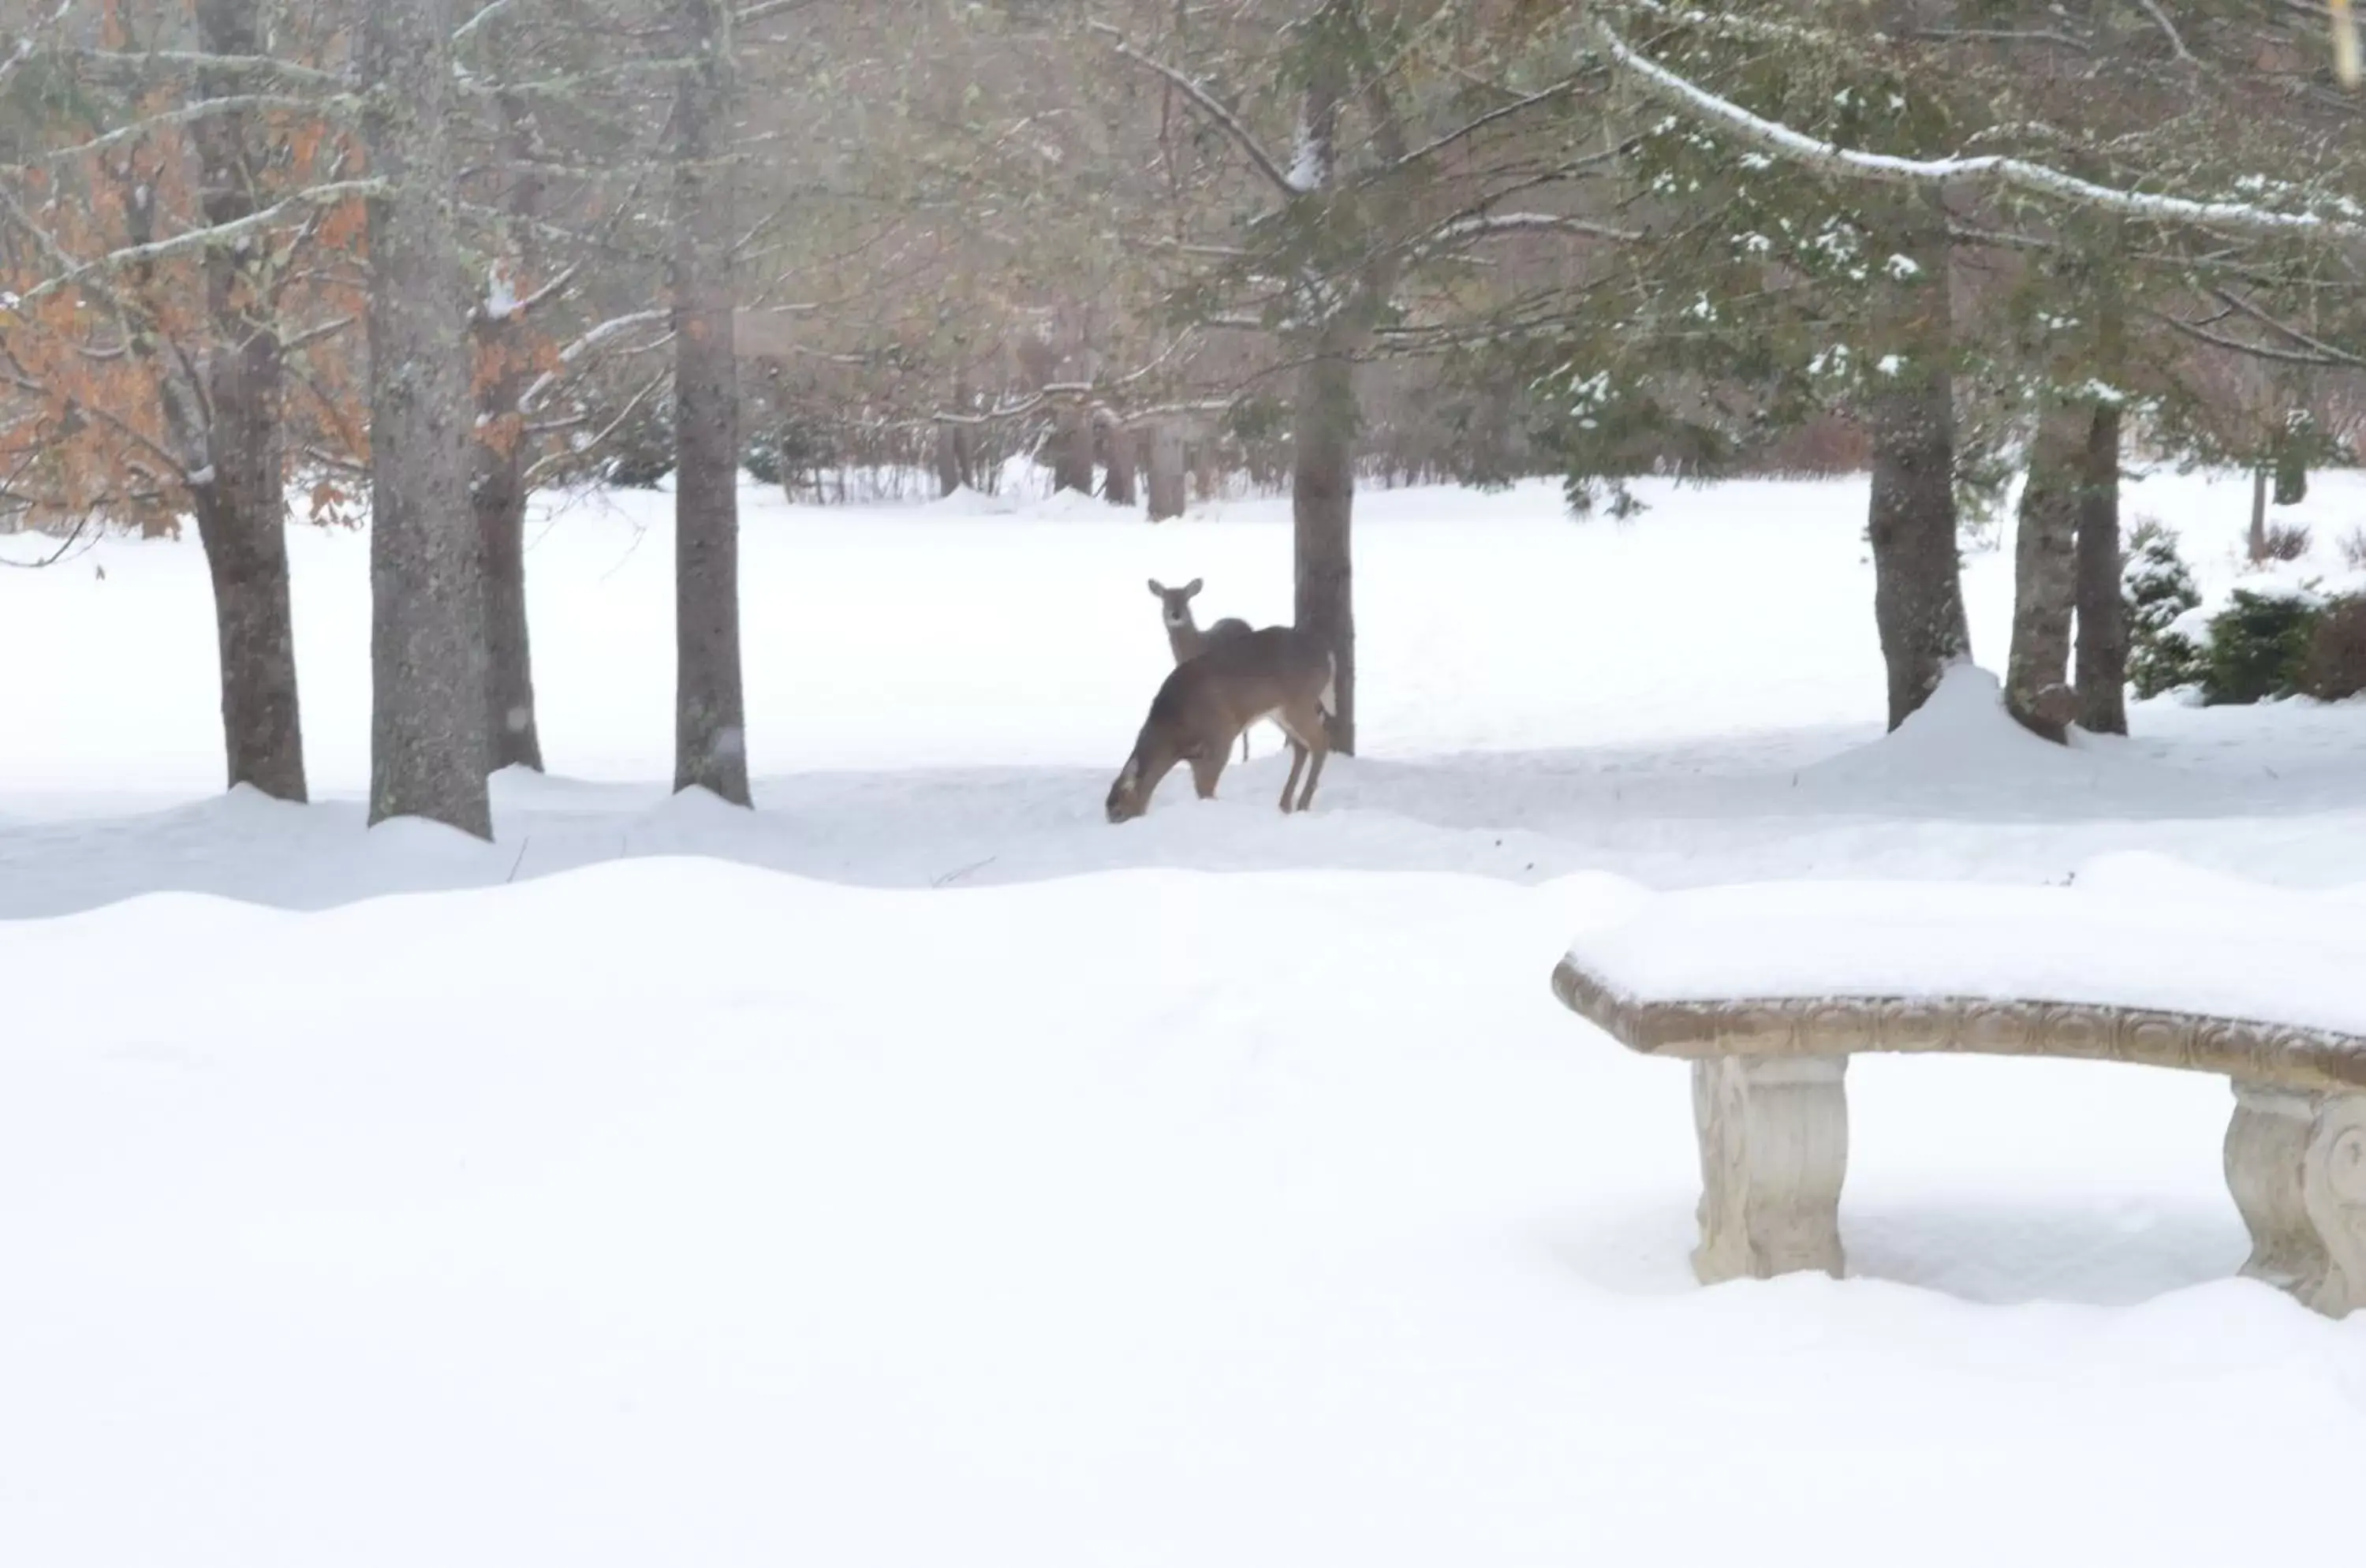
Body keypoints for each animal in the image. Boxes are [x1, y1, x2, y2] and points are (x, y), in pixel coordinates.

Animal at [1103, 624, 1334, 823]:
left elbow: (1207, 787)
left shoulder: (1222, 732)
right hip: (1279, 713)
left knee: (1320, 742)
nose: (1114, 823)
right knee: (1301, 747)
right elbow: (1201, 787)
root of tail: (1328, 655)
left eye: (1118, 811)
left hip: (1299, 701)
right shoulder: (1194, 757)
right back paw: (1285, 804)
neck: (1175, 725)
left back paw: (1302, 804)